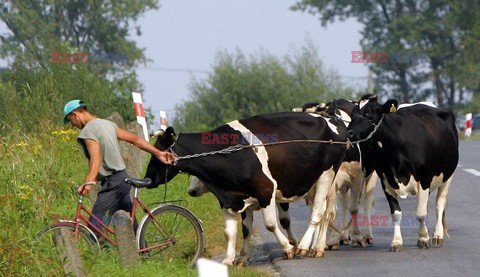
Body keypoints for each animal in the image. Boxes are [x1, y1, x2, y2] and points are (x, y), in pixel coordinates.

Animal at [145, 111, 348, 264]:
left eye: (158, 152)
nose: (149, 178)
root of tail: (331, 119)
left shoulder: (266, 190)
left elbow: (271, 224)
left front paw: (288, 248)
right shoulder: (230, 198)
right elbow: (234, 231)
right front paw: (233, 259)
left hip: (326, 176)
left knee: (318, 212)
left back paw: (305, 246)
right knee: (325, 212)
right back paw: (318, 247)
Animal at [348, 95, 458, 250]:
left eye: (368, 113)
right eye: (352, 114)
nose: (349, 131)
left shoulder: (424, 178)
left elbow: (420, 213)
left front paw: (423, 239)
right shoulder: (387, 180)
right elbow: (396, 213)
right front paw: (397, 242)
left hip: (448, 176)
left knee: (439, 203)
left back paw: (437, 235)